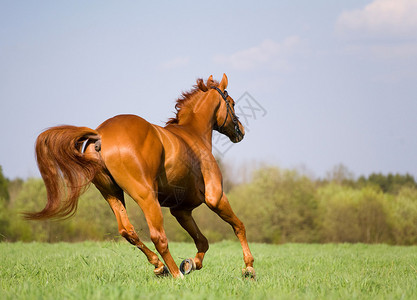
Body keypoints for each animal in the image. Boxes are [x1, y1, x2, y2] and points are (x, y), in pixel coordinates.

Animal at [26, 74, 255, 278]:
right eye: (232, 103)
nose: (241, 132)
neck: (192, 135)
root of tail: (100, 134)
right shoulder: (215, 198)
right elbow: (239, 227)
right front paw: (249, 268)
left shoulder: (181, 210)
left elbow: (202, 241)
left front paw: (191, 263)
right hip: (145, 195)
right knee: (158, 236)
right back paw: (175, 274)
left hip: (111, 193)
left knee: (127, 230)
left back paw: (159, 266)